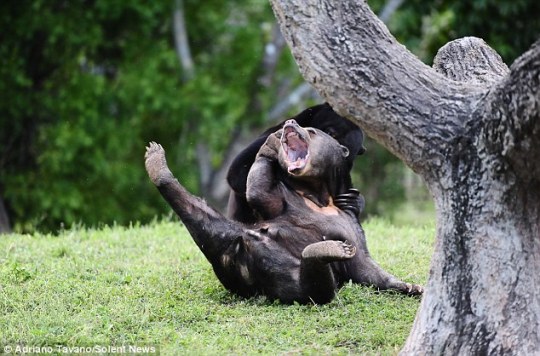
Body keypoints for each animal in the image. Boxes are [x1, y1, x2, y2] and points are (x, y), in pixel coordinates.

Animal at [146, 120, 424, 304]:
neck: (317, 194)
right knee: (198, 213)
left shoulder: (351, 224)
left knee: (314, 289)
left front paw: (410, 287)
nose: (291, 123)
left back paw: (322, 251)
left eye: (312, 131)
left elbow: (363, 266)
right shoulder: (280, 198)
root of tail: (242, 264)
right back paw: (158, 167)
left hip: (281, 278)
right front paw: (269, 145)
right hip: (228, 237)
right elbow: (259, 193)